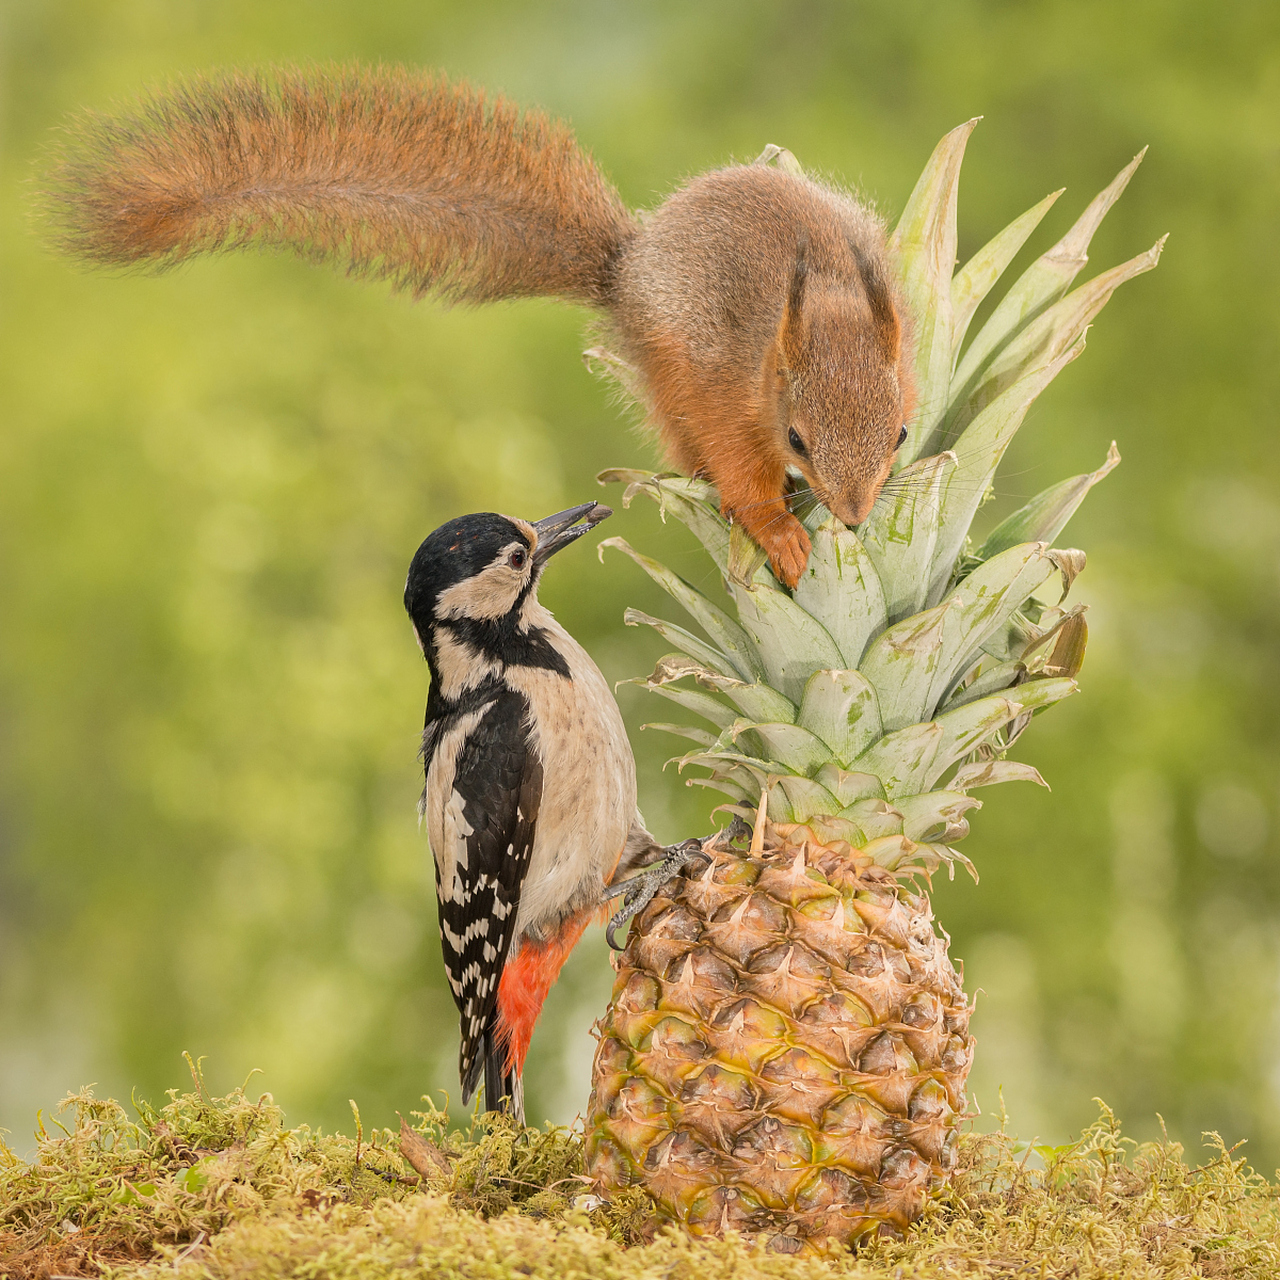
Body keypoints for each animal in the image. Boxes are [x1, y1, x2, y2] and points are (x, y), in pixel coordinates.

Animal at [45, 67, 916, 586]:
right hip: (669, 371)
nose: (853, 517)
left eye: (903, 433)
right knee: (686, 447)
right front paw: (783, 536)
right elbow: (741, 478)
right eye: (797, 436)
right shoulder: (730, 399)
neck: (819, 304)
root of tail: (627, 263)